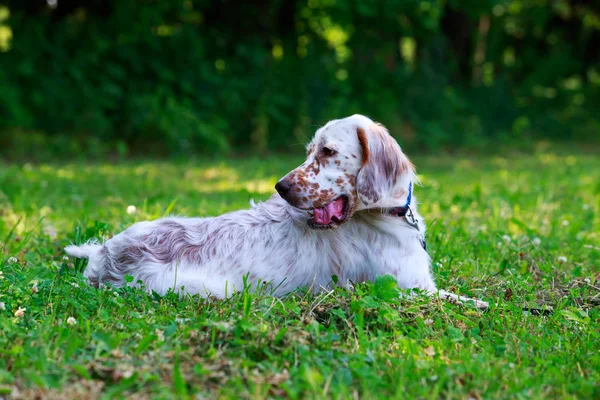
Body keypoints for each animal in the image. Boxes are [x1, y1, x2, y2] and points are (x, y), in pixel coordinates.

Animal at [65, 114, 488, 308]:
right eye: (309, 150)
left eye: (327, 151)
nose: (280, 188)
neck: (385, 214)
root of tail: (106, 254)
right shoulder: (404, 287)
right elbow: (464, 298)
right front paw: (484, 303)